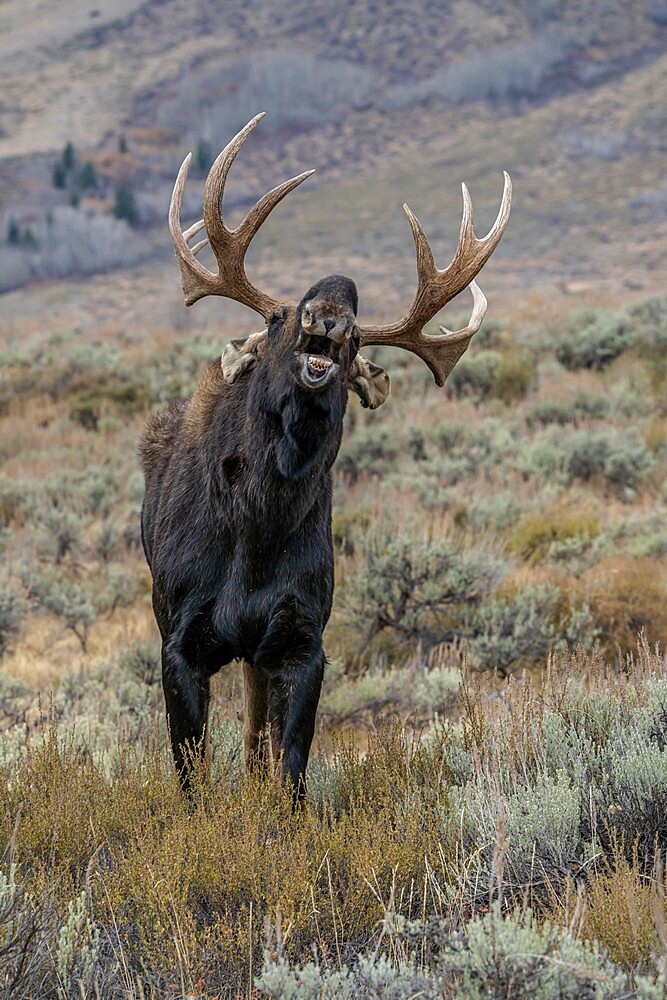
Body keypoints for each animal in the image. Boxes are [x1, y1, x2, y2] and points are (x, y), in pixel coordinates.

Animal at [138, 113, 508, 800]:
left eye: (359, 337)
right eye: (279, 316)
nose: (331, 307)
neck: (256, 533)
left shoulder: (301, 641)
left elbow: (288, 768)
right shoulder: (180, 640)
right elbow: (191, 778)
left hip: (257, 660)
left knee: (254, 738)